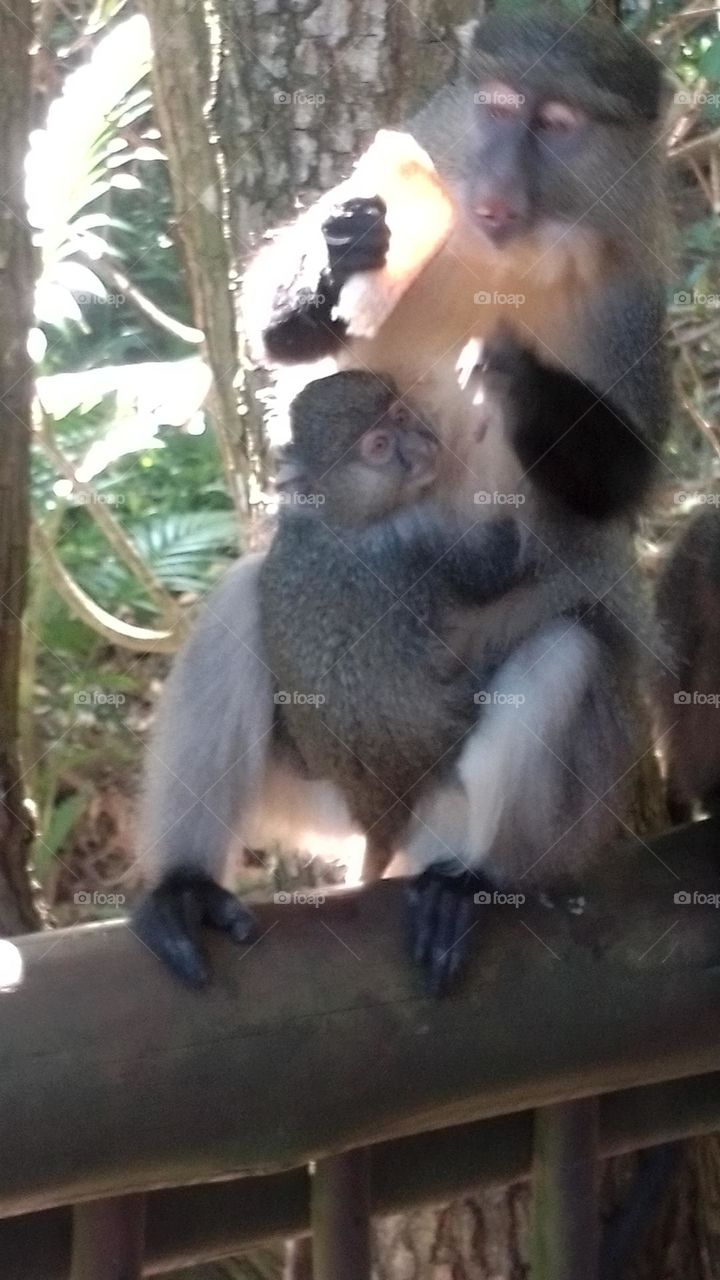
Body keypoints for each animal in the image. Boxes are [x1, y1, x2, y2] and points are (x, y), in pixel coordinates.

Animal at [133, 11, 670, 993]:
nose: (494, 186)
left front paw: (521, 375)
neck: (514, 252)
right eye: (496, 103)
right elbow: (284, 345)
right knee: (242, 599)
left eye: (557, 123)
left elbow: (611, 498)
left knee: (566, 651)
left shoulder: (630, 306)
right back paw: (184, 888)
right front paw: (335, 252)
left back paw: (473, 884)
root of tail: (382, 821)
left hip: (524, 816)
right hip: (308, 785)